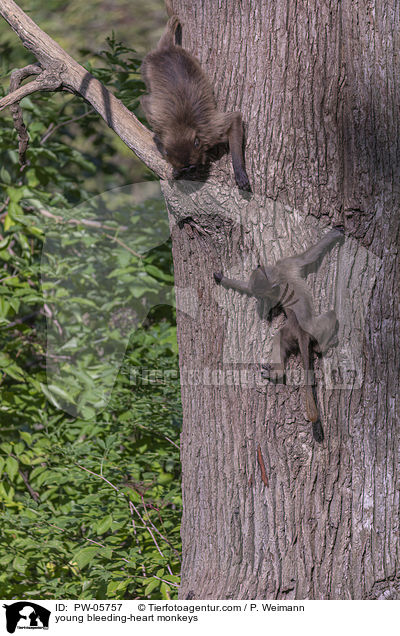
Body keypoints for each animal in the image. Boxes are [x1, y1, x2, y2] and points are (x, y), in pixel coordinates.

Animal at [141, 8, 250, 190]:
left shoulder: (211, 133)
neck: (183, 126)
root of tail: (166, 49)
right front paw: (174, 171)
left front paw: (239, 171)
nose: (189, 174)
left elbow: (234, 119)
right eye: (185, 169)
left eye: (192, 167)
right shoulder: (163, 131)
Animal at [212, 229, 344, 442]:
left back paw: (279, 370)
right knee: (329, 317)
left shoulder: (282, 268)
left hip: (291, 332)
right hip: (312, 328)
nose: (261, 300)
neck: (277, 277)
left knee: (279, 338)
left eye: (262, 294)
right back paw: (319, 348)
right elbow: (309, 255)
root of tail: (301, 332)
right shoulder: (287, 263)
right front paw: (334, 234)